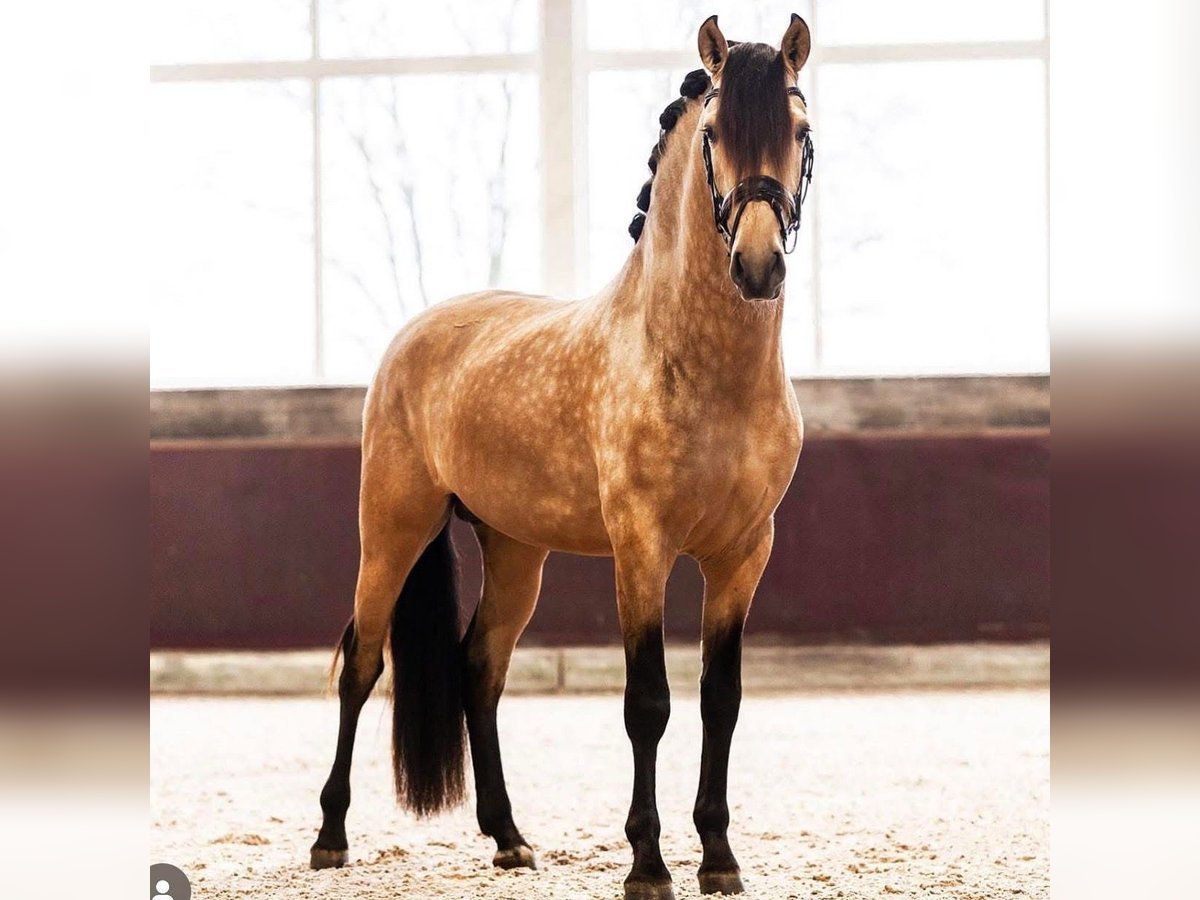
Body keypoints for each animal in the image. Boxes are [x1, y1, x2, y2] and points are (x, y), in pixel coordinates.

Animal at [311, 14, 814, 900]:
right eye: (714, 133)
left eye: (802, 130)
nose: (759, 266)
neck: (697, 366)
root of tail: (413, 336)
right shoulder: (642, 549)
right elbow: (648, 702)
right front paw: (648, 865)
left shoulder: (743, 555)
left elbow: (720, 698)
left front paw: (719, 857)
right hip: (392, 531)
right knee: (362, 662)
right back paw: (331, 837)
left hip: (516, 551)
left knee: (479, 668)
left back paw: (509, 837)